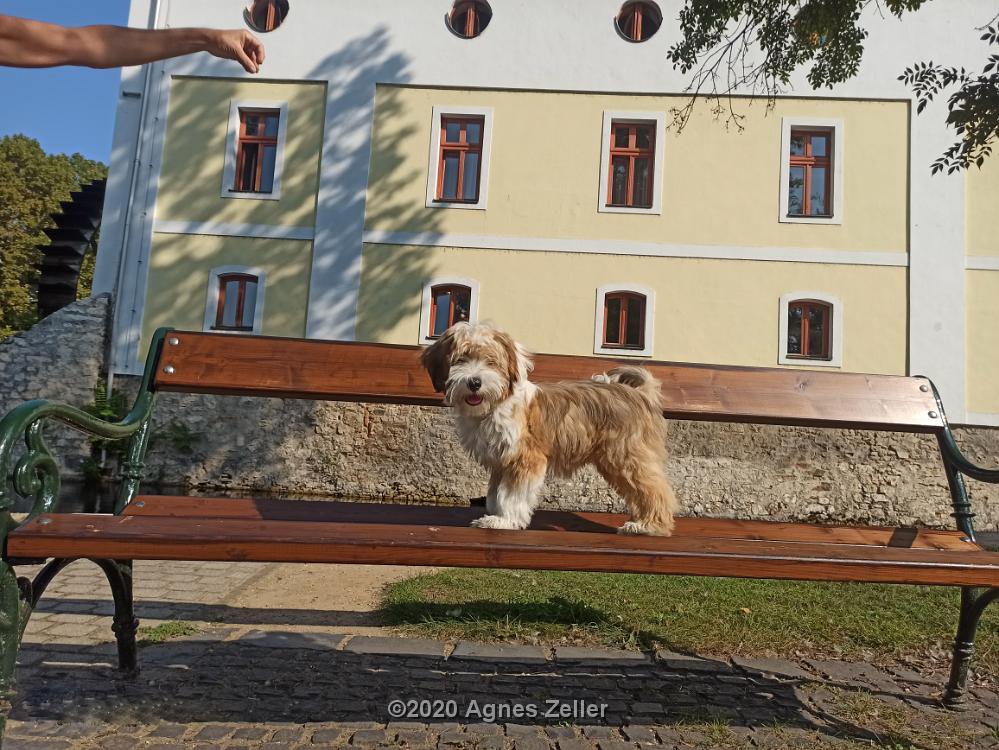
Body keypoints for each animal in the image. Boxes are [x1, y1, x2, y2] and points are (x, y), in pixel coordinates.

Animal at [422, 322, 680, 536]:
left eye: (491, 362)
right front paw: (495, 515)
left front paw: (505, 520)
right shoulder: (500, 460)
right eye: (460, 360)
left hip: (627, 455)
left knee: (655, 489)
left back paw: (649, 526)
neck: (497, 404)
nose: (474, 382)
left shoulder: (524, 458)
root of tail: (638, 394)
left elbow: (512, 494)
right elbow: (495, 493)